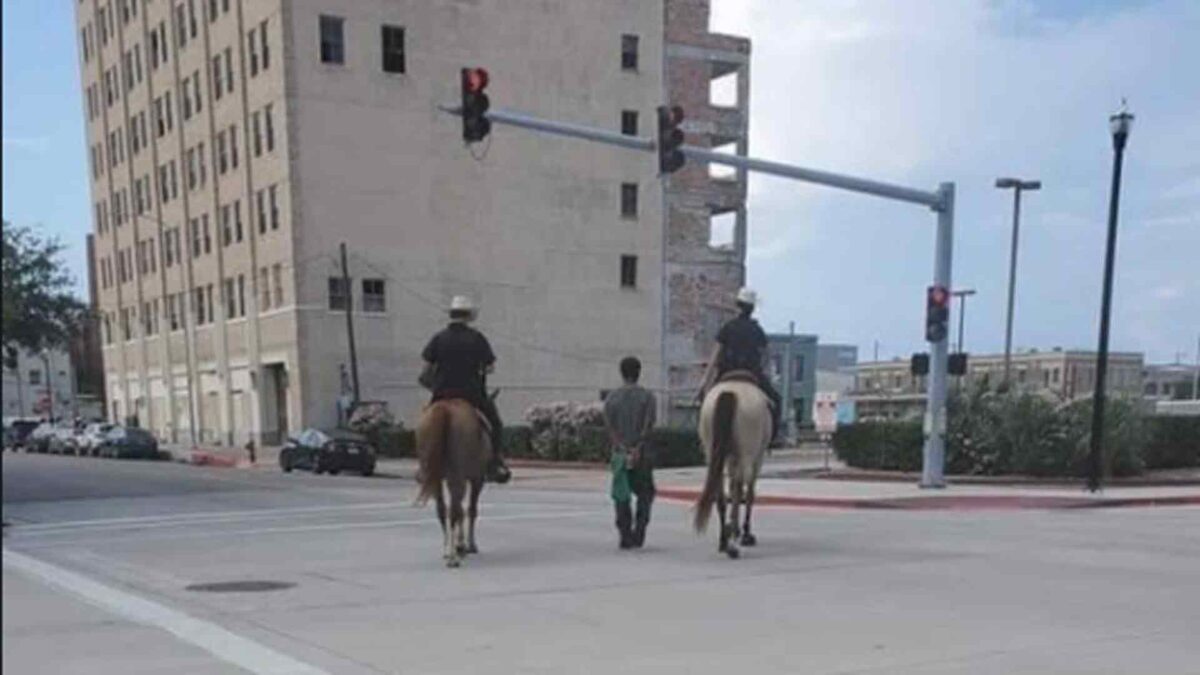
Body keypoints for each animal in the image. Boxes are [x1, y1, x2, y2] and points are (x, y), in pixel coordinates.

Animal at [412, 391, 487, 564]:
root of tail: (444, 410)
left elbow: (461, 510)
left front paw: (462, 545)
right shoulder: (477, 479)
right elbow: (470, 510)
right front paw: (468, 545)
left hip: (436, 477)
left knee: (443, 509)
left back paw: (448, 550)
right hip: (458, 476)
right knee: (454, 510)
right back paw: (453, 556)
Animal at [696, 372, 768, 557]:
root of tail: (729, 392)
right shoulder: (757, 458)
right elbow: (748, 494)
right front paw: (746, 533)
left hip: (712, 452)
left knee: (721, 493)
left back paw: (724, 540)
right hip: (747, 453)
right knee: (740, 488)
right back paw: (734, 540)